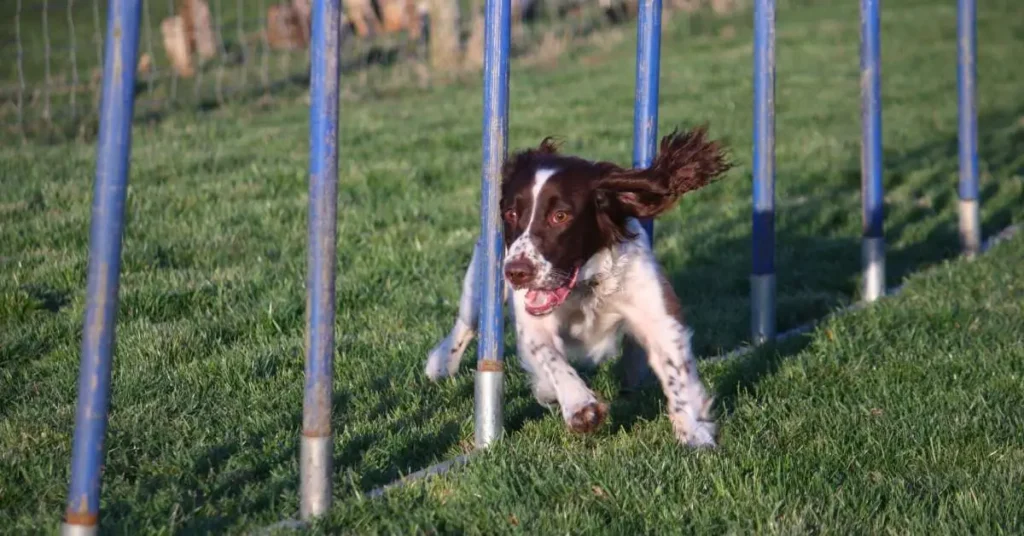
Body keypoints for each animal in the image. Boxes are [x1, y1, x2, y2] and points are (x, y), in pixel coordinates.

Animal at [421, 127, 729, 448]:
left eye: (560, 216)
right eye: (510, 214)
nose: (516, 272)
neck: (585, 286)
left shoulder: (655, 310)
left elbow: (675, 369)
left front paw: (694, 431)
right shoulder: (533, 320)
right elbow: (550, 357)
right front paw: (580, 407)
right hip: (482, 275)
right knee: (467, 324)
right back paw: (441, 363)